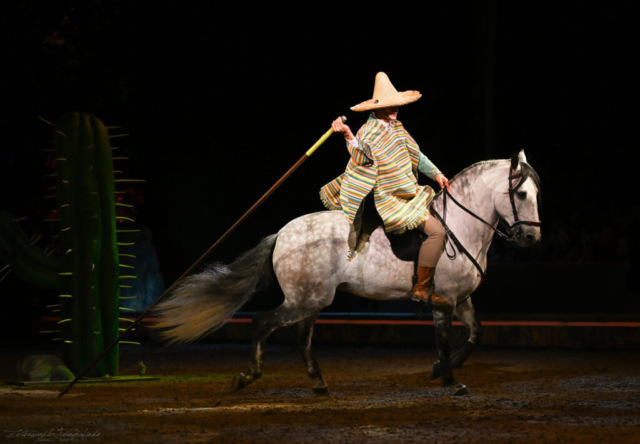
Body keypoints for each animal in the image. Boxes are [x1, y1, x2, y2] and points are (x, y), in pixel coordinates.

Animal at [154, 150, 540, 396]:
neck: (460, 226)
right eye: (521, 194)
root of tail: (281, 234)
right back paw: (248, 376)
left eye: (537, 192)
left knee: (302, 336)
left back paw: (318, 383)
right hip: (304, 300)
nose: (532, 238)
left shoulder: (461, 300)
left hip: (312, 300)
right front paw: (450, 380)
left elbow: (477, 333)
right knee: (262, 323)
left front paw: (437, 371)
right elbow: (444, 341)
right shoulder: (443, 301)